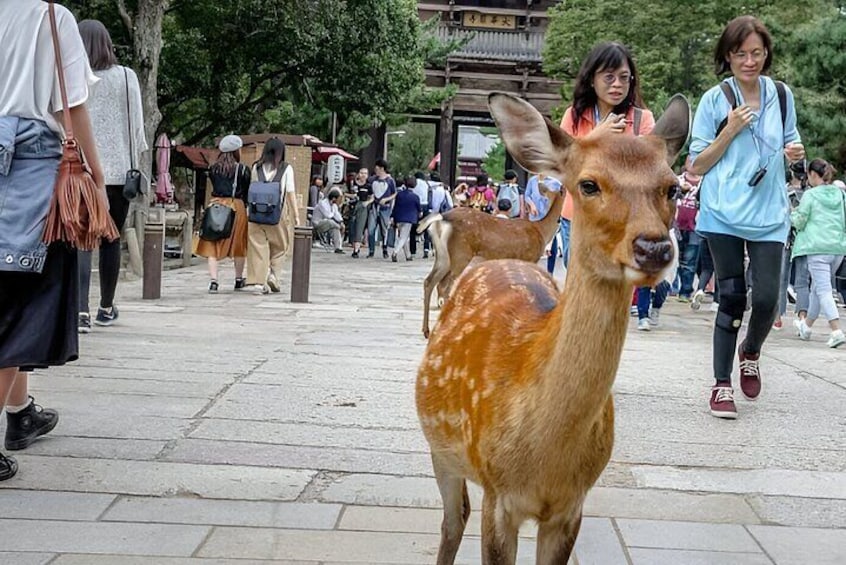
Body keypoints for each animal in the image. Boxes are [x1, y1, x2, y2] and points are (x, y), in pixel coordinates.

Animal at [420, 183, 568, 338]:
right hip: (461, 254)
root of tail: (442, 218)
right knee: (446, 287)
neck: (542, 231)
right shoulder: (530, 258)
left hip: (443, 256)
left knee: (430, 282)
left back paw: (427, 330)